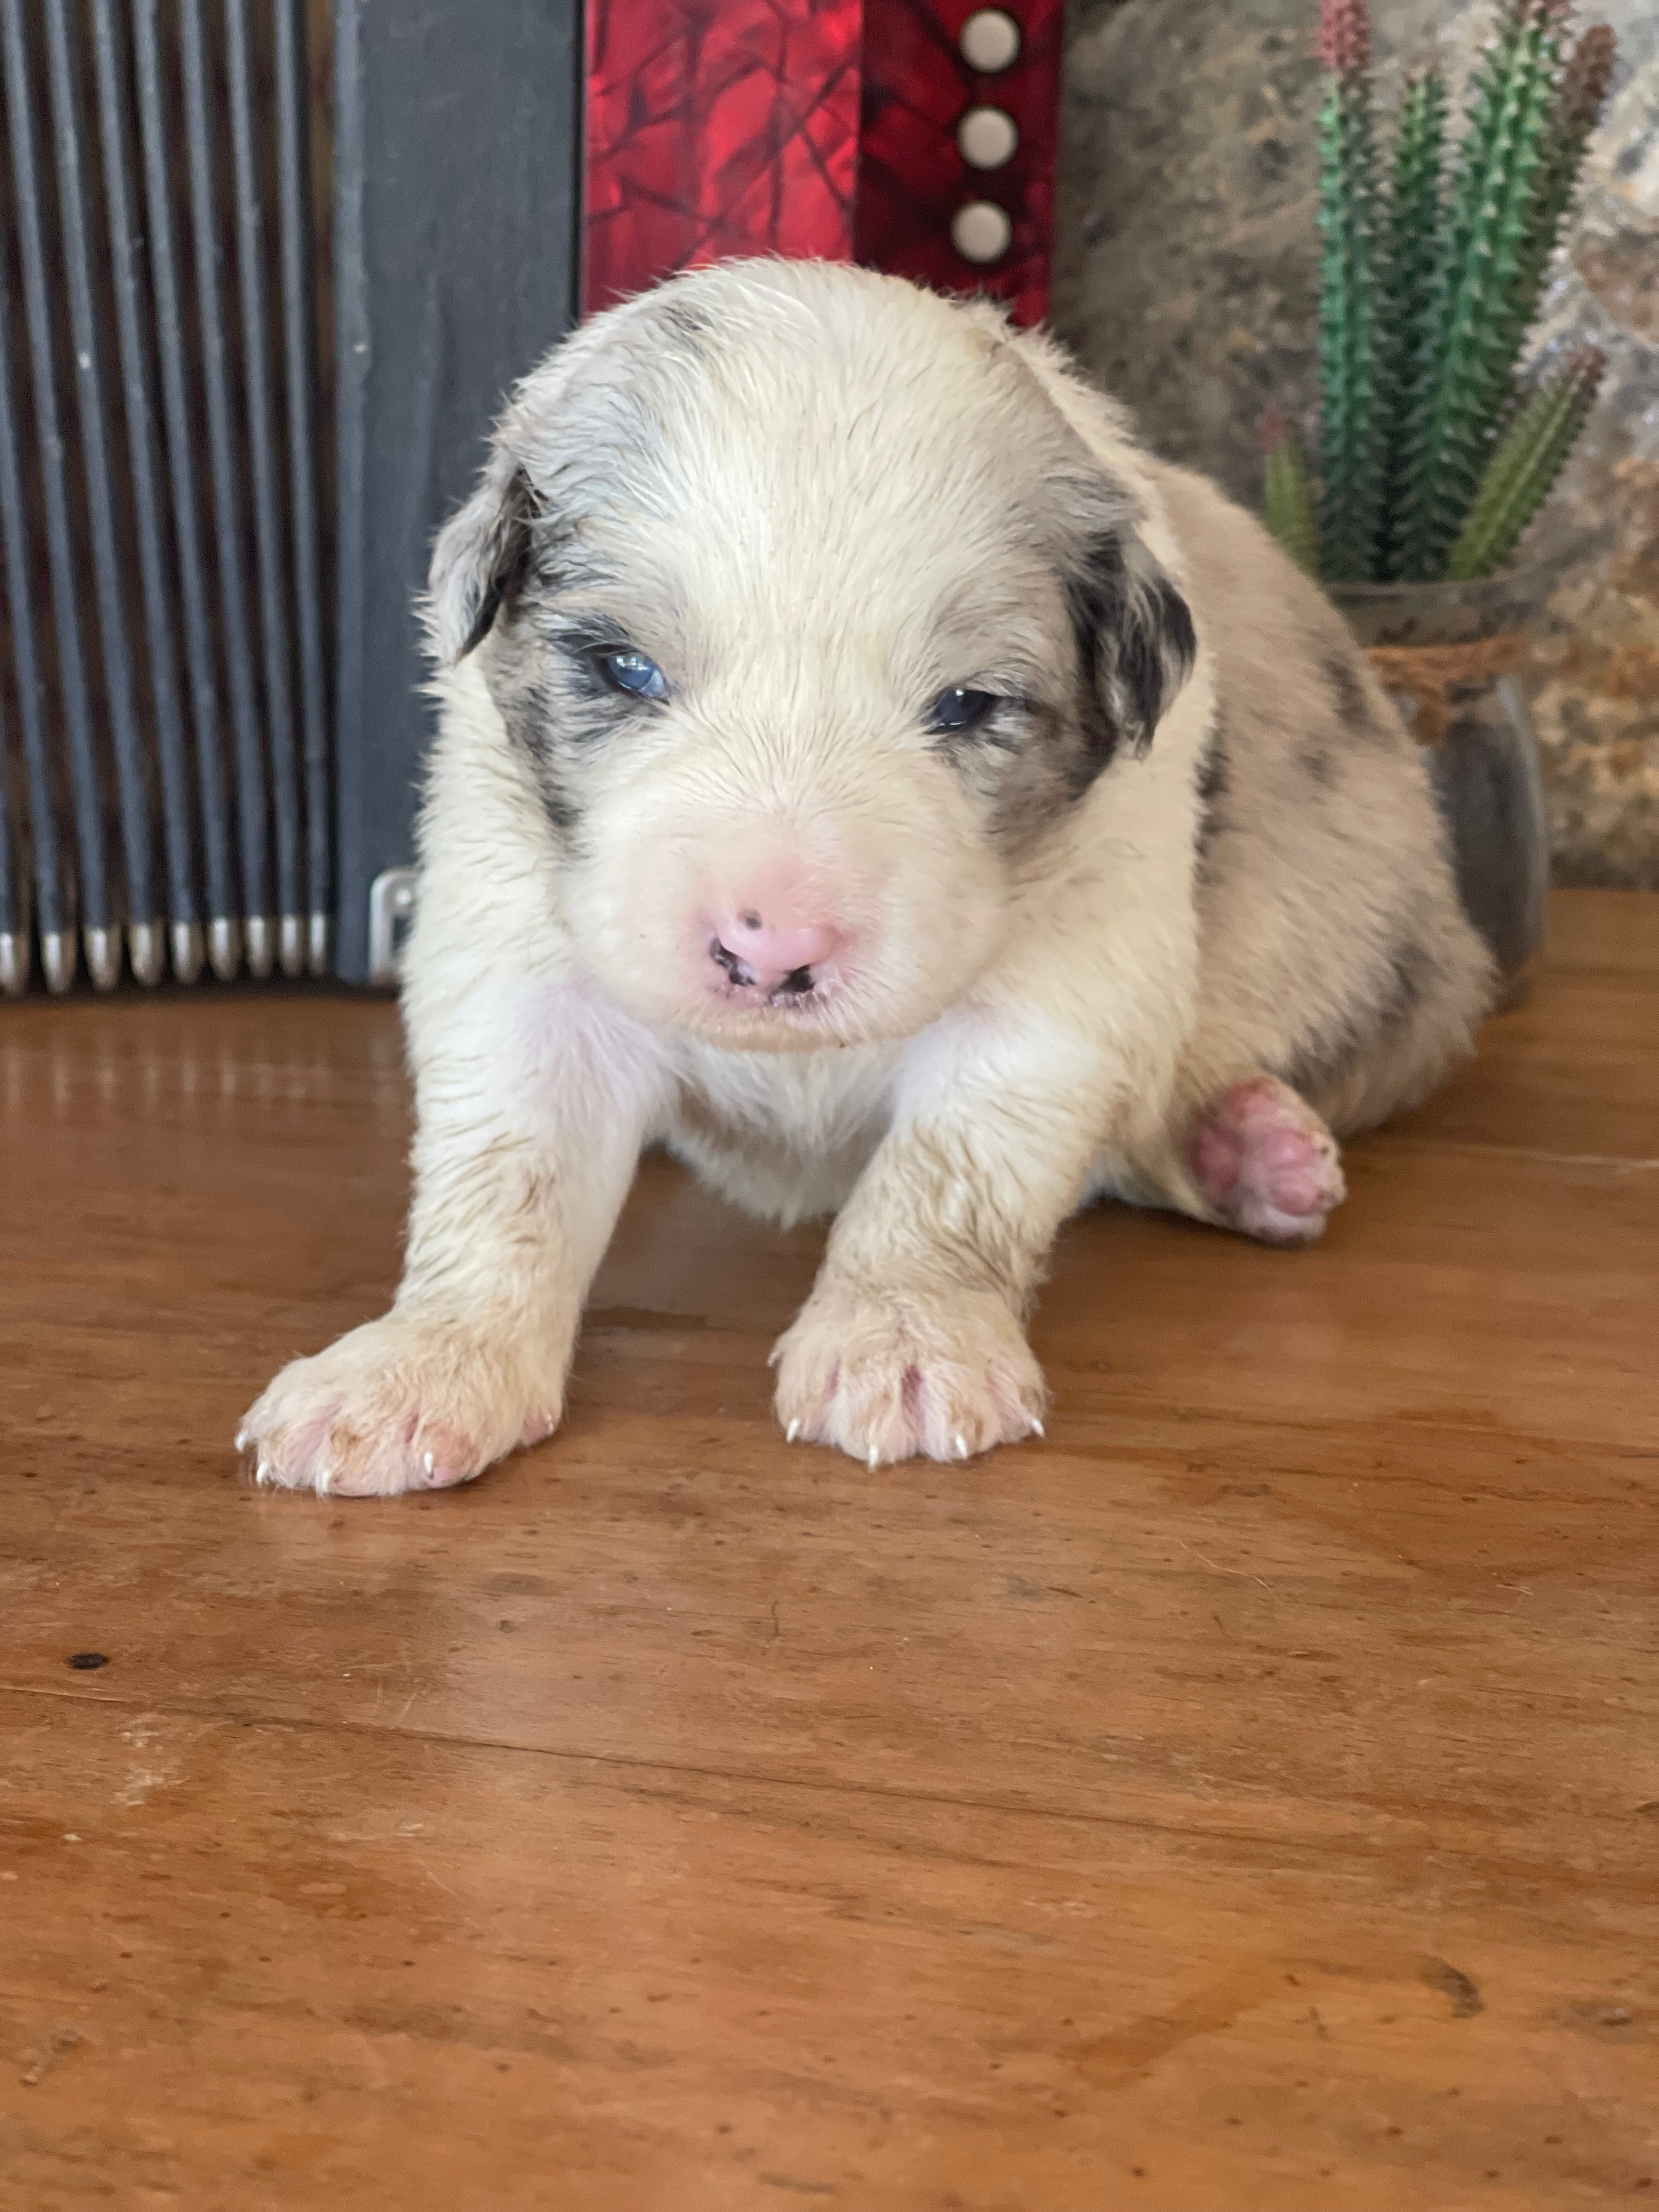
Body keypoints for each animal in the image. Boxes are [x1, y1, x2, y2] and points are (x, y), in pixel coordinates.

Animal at [240, 263, 1504, 1504]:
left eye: (967, 705)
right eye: (623, 667)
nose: (772, 949)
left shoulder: (1066, 978)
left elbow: (949, 1171)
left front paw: (905, 1341)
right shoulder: (521, 945)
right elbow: (507, 1181)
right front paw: (419, 1366)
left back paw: (1250, 1153)